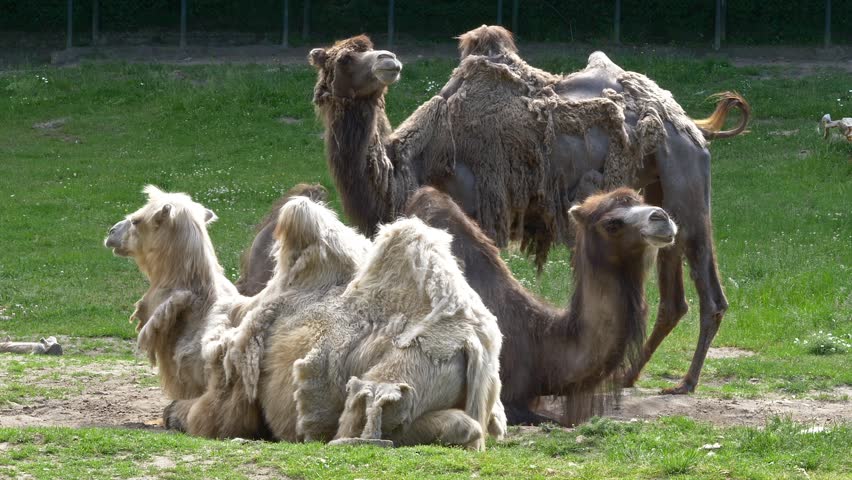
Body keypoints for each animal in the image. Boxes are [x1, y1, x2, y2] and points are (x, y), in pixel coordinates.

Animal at [305, 27, 750, 401]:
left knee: (709, 293)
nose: (388, 60)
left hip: (685, 179)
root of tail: (689, 122)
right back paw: (627, 377)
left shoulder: (476, 213)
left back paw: (684, 382)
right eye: (345, 58)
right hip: (660, 191)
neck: (408, 168)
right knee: (674, 300)